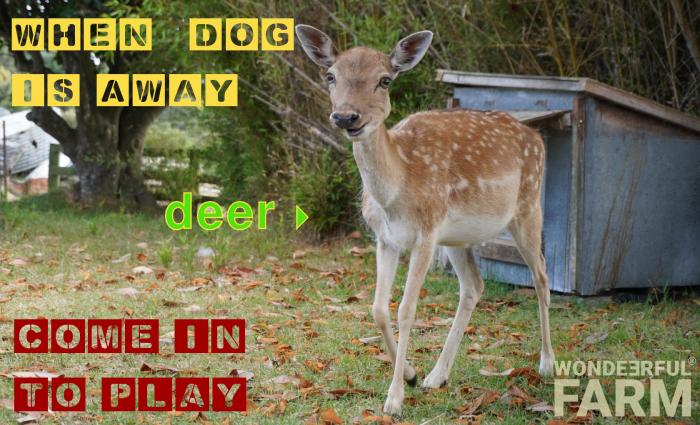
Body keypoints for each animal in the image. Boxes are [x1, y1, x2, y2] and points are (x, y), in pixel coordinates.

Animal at [295, 25, 555, 416]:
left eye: (385, 80)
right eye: (330, 76)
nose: (346, 117)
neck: (396, 191)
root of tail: (536, 135)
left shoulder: (426, 235)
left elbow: (406, 309)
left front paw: (394, 399)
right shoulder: (385, 239)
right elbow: (377, 309)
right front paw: (411, 375)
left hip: (527, 207)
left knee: (541, 275)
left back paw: (547, 363)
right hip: (459, 238)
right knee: (474, 286)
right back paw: (437, 376)